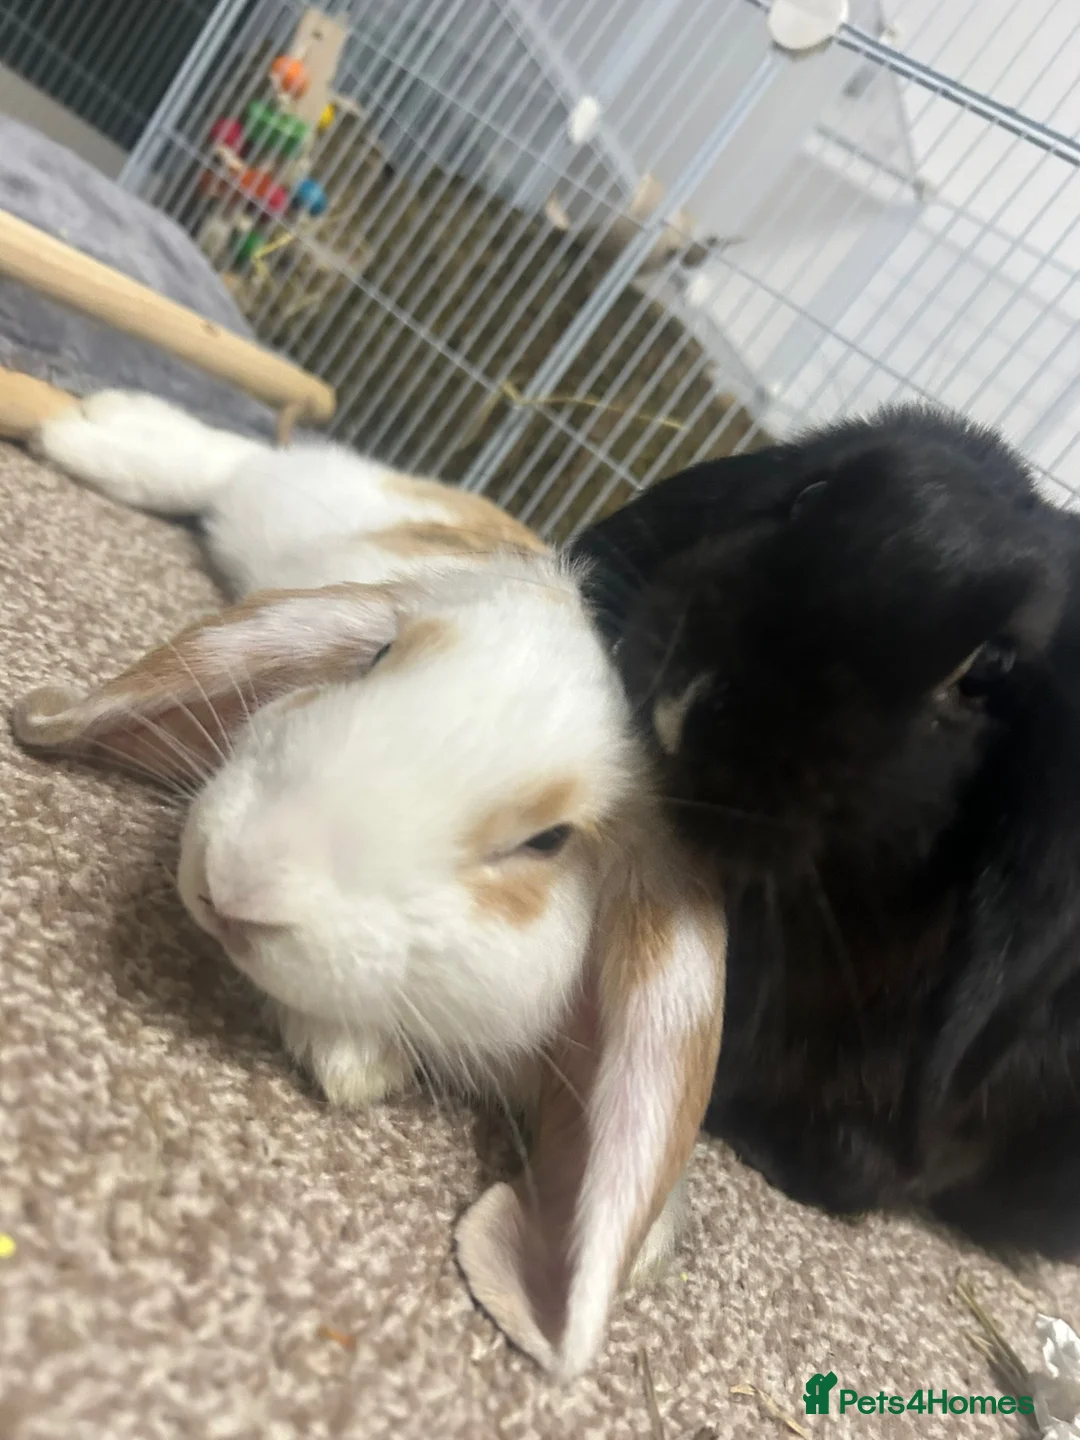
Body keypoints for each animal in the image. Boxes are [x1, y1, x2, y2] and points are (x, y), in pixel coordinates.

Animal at [12, 390, 727, 1380]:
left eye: (547, 842)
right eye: (376, 658)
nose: (232, 880)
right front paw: (354, 1060)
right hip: (301, 506)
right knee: (234, 462)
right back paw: (97, 430)